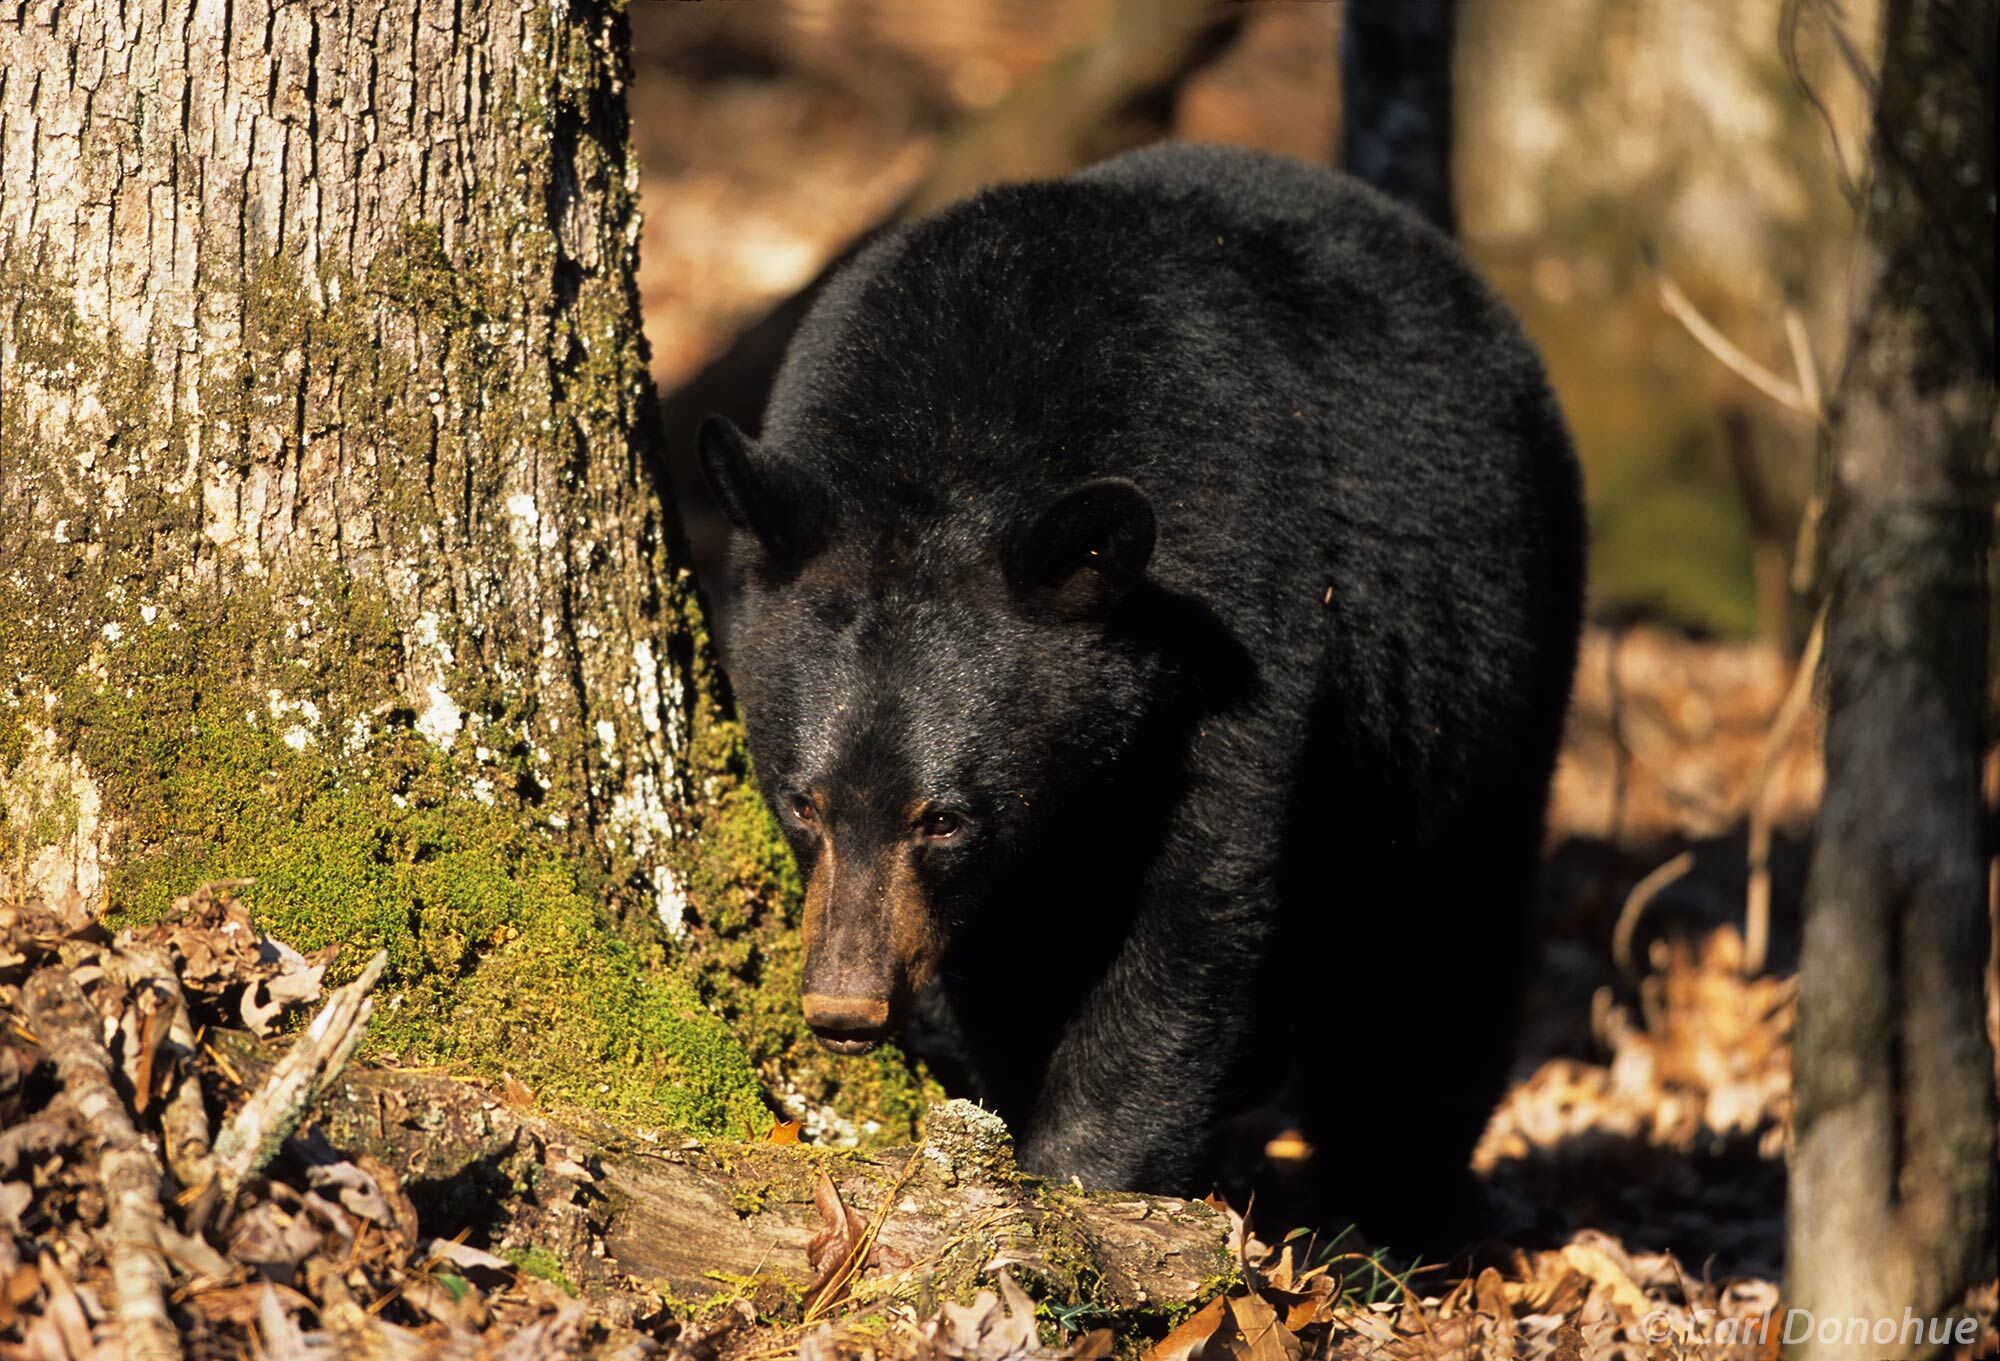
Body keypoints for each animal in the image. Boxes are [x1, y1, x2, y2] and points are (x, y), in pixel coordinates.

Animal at [696, 141, 1584, 1240]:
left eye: (942, 817)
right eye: (803, 802)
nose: (844, 1008)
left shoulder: (1239, 611)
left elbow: (1194, 906)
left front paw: (1086, 1176)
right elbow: (1014, 959)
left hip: (1488, 662)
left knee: (1436, 955)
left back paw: (1396, 1203)